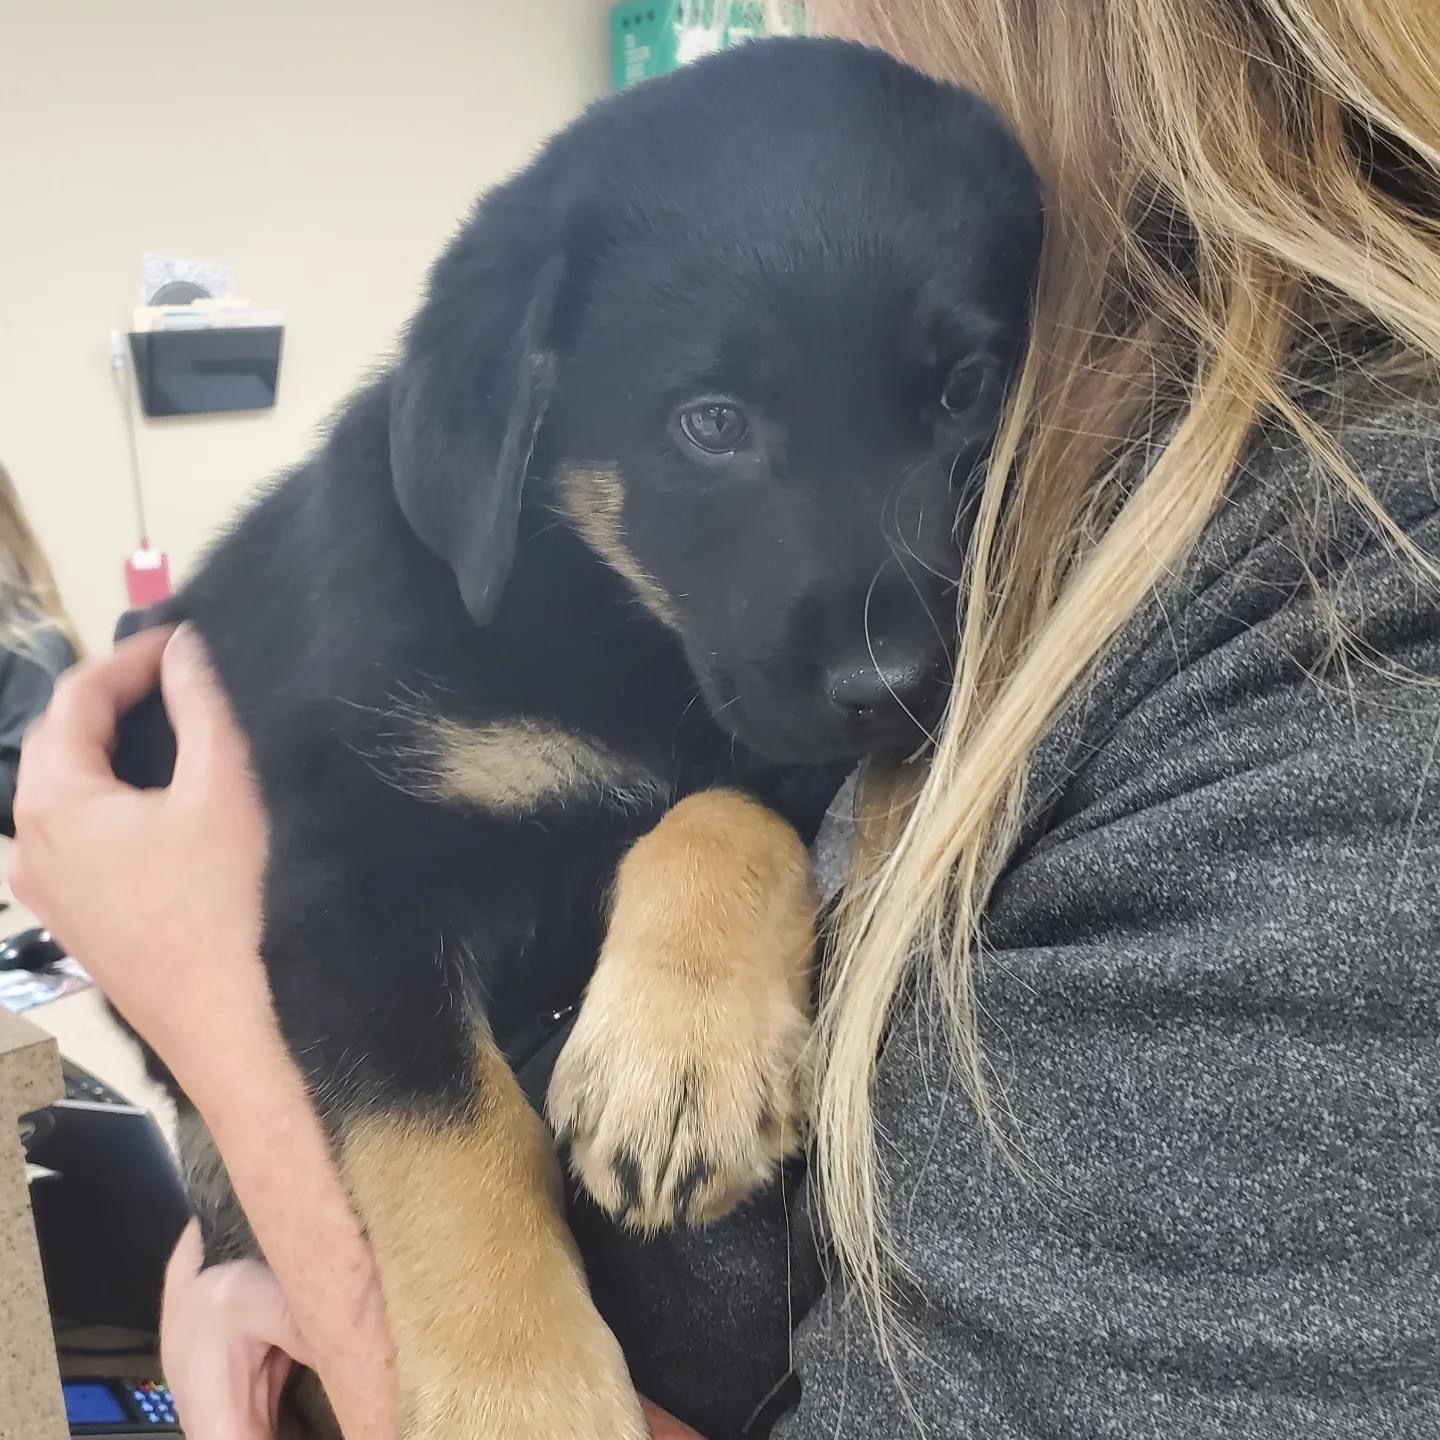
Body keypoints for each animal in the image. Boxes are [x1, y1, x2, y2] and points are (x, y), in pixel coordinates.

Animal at [115, 39, 1036, 1440]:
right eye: (711, 423)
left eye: (968, 390)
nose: (904, 685)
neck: (615, 620)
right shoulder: (347, 884)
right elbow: (452, 1140)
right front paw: (521, 1388)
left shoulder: (770, 749)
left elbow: (722, 809)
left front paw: (681, 1056)